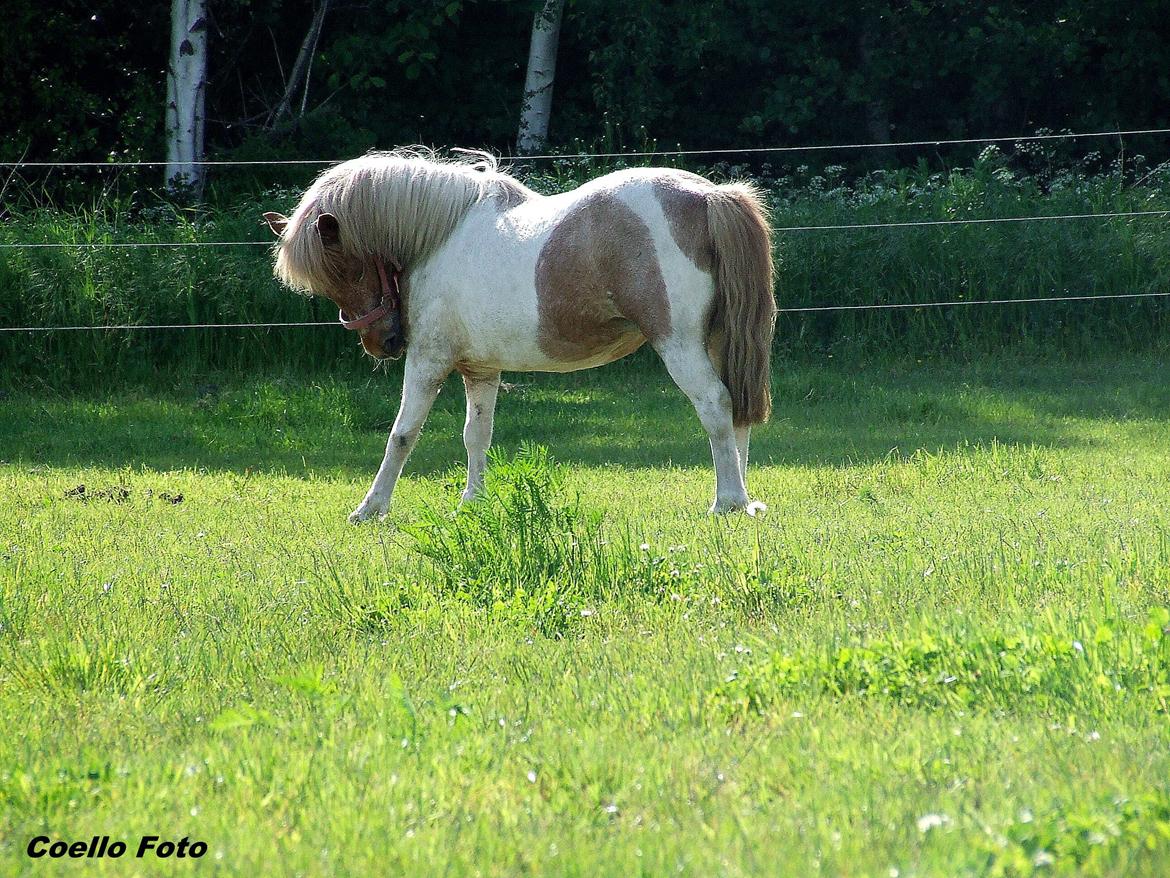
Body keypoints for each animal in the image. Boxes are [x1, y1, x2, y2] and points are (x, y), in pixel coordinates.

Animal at [265, 151, 776, 522]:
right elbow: (477, 435)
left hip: (680, 346)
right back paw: (745, 498)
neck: (440, 237)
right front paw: (472, 504)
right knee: (737, 412)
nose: (383, 343)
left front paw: (370, 508)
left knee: (715, 405)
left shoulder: (428, 361)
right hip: (720, 342)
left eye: (345, 268)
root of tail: (708, 197)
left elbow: (402, 435)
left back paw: (727, 501)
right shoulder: (480, 370)